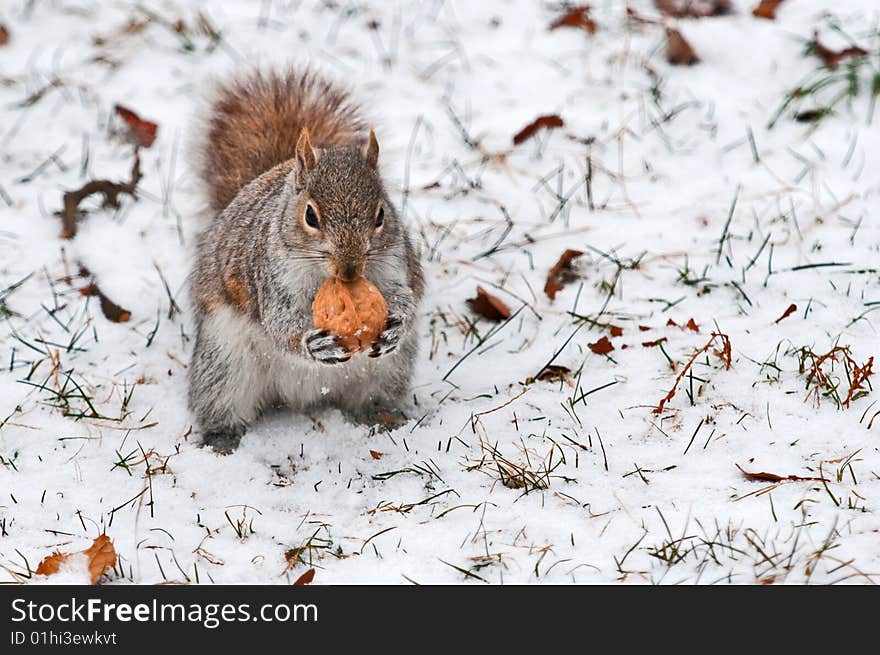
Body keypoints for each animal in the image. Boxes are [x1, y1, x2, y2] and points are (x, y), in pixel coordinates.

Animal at [187, 69, 424, 454]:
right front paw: (314, 343)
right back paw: (221, 439)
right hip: (223, 362)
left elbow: (405, 296)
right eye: (310, 215)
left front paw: (396, 325)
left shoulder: (394, 262)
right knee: (220, 400)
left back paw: (381, 418)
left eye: (380, 215)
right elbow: (279, 322)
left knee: (372, 396)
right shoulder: (271, 275)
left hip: (389, 372)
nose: (350, 269)